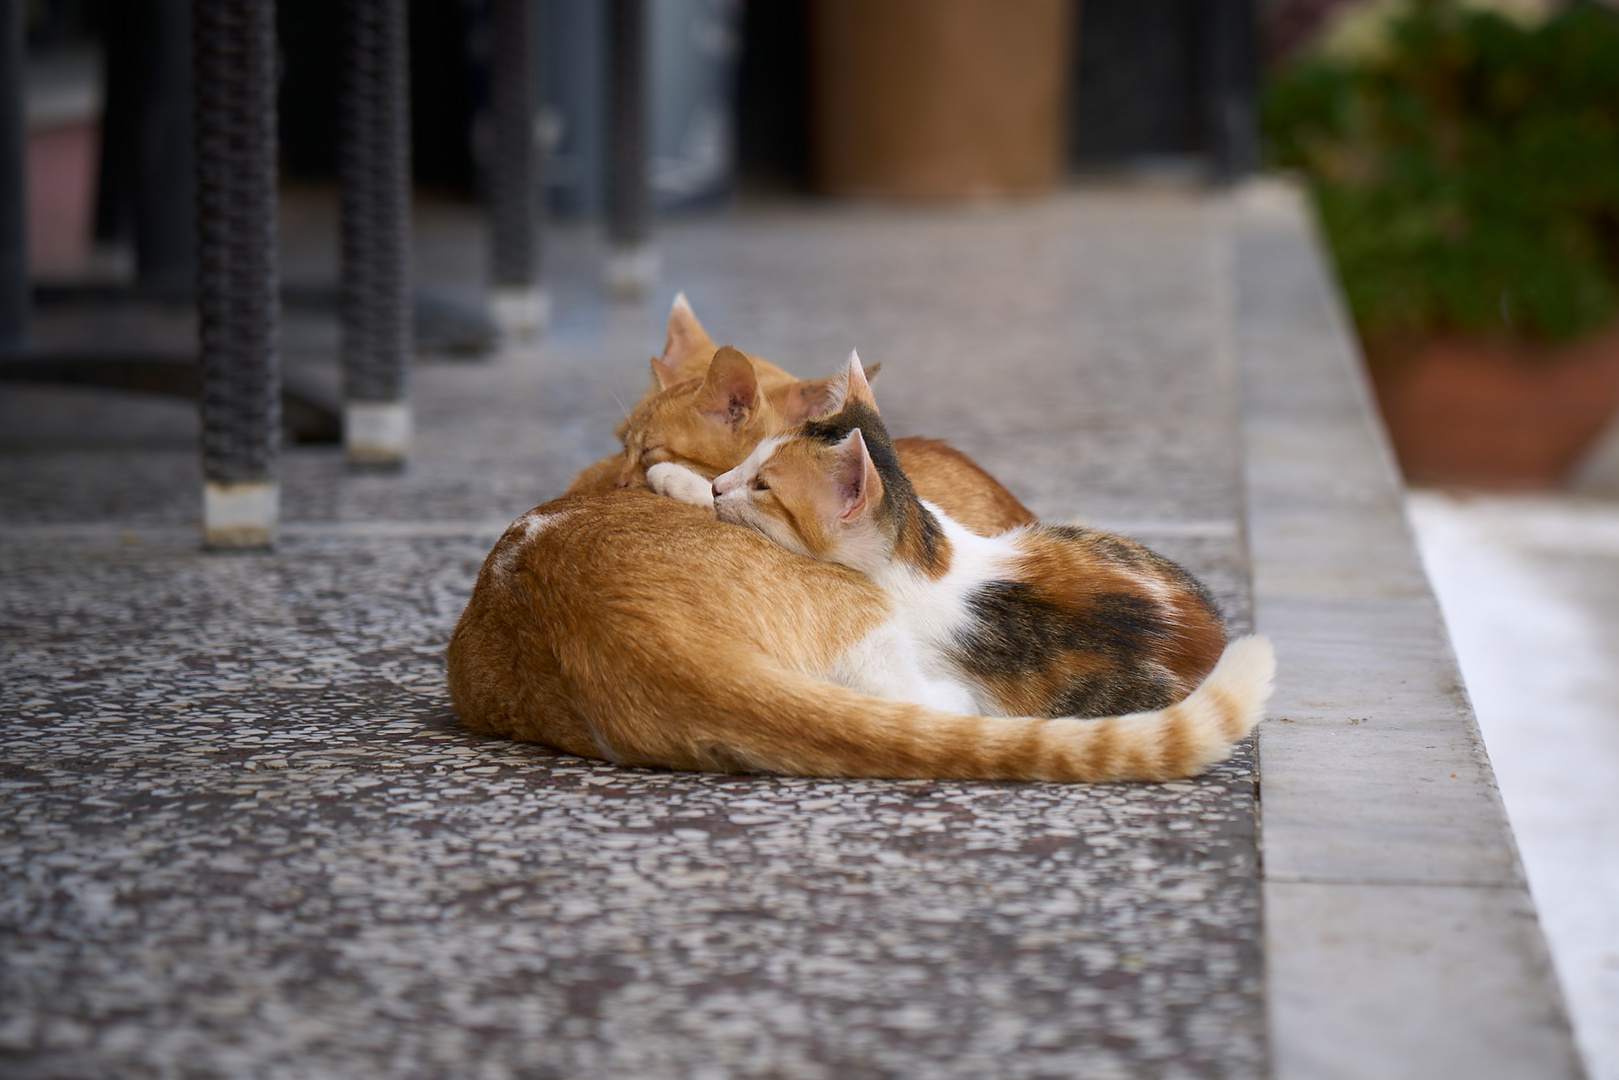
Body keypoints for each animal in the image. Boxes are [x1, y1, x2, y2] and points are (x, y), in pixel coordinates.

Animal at [647, 354, 1249, 722]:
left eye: (764, 486)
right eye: (749, 460)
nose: (723, 484)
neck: (921, 548)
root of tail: (1216, 643)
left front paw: (679, 480)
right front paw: (686, 479)